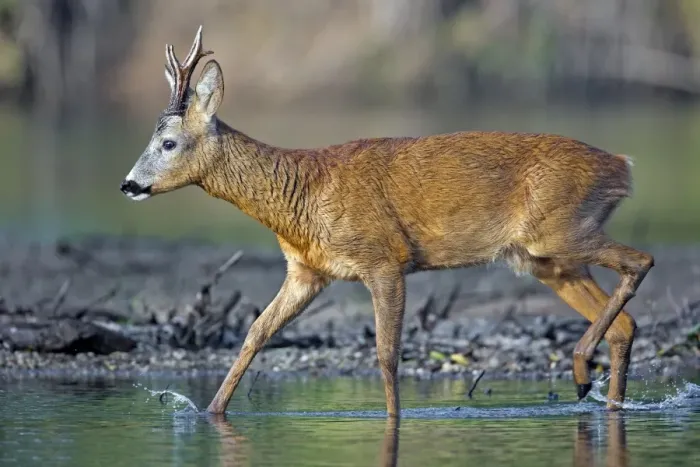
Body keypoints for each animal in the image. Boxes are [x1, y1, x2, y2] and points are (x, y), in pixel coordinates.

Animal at [120, 26, 653, 417]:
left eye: (168, 142)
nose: (128, 184)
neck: (301, 196)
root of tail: (622, 166)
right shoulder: (306, 272)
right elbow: (256, 332)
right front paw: (210, 412)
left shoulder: (385, 259)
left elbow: (385, 353)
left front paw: (393, 419)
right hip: (545, 259)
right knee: (625, 323)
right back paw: (605, 399)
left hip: (560, 230)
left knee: (642, 260)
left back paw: (581, 368)